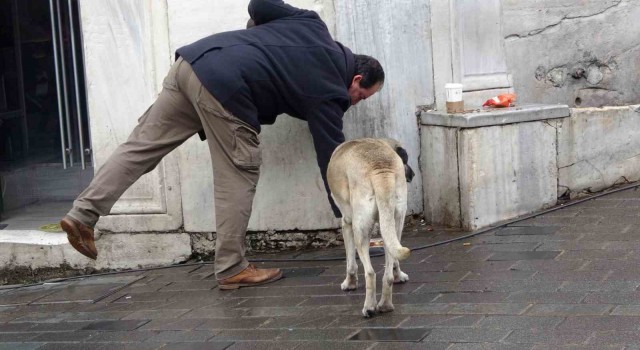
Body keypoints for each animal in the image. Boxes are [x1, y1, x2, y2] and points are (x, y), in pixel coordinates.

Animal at [328, 139, 412, 318]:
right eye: (406, 160)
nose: (413, 175)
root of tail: (380, 169)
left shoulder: (347, 224)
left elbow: (351, 262)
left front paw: (350, 283)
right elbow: (394, 261)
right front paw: (399, 276)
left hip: (360, 230)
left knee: (371, 273)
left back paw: (369, 307)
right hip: (395, 222)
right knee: (388, 272)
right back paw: (385, 305)